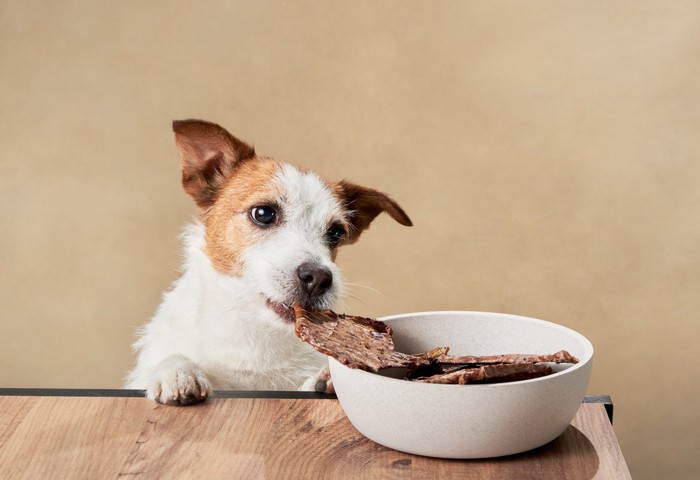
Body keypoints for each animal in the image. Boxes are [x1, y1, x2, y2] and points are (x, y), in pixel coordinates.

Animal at [124, 120, 410, 404]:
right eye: (263, 213)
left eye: (336, 232)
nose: (319, 278)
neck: (255, 330)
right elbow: (170, 356)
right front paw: (176, 371)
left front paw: (325, 380)